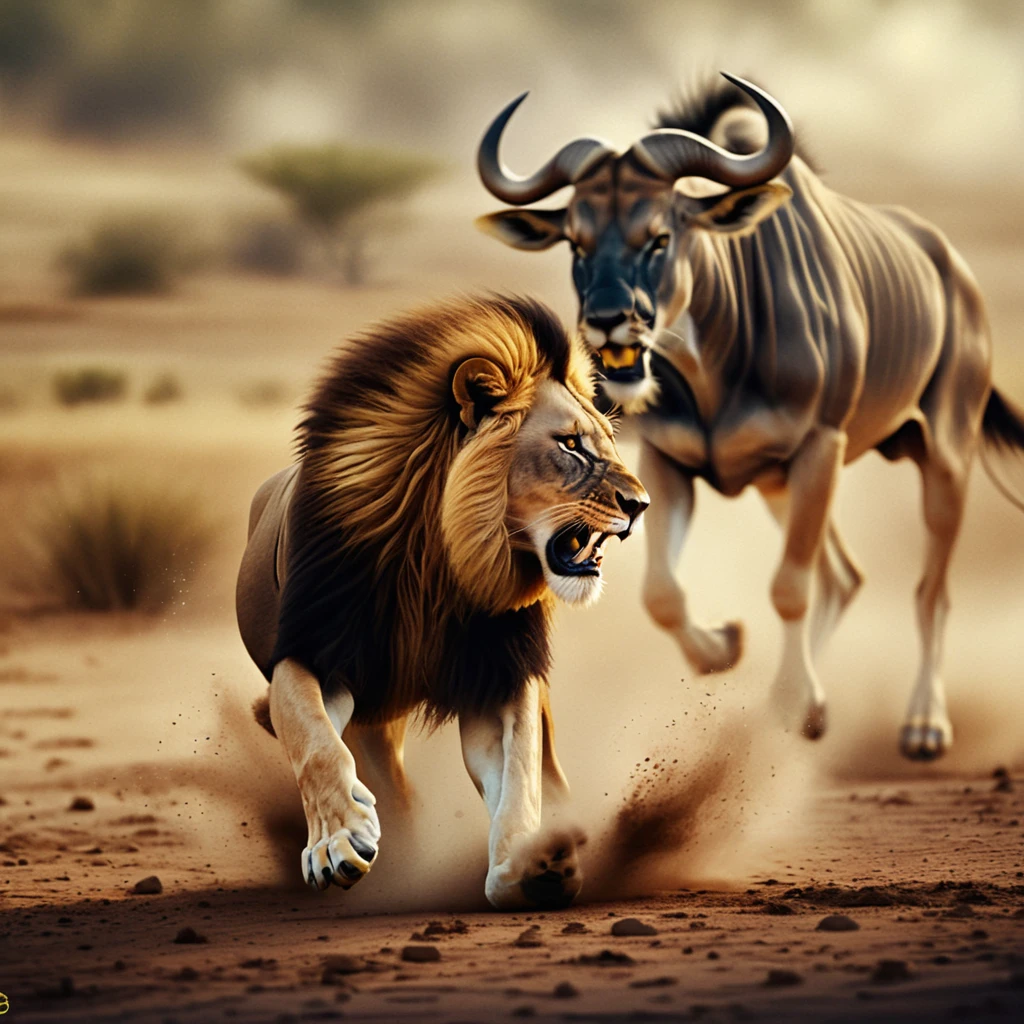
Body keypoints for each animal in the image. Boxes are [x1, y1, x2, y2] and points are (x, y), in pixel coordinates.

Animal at [236, 295, 648, 909]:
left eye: (607, 440)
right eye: (570, 444)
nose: (641, 503)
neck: (436, 557)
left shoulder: (501, 675)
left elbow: (519, 774)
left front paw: (532, 864)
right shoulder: (312, 650)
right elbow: (314, 742)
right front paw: (336, 840)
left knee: (545, 766)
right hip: (374, 713)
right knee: (380, 777)